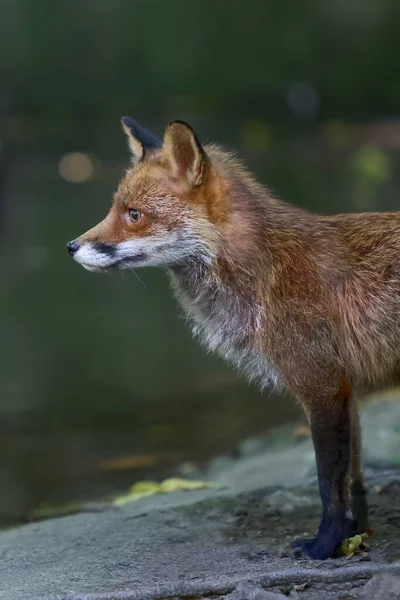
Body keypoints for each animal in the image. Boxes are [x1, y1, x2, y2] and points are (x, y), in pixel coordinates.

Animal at [67, 117, 398, 556]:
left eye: (134, 214)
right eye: (114, 209)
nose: (71, 246)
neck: (265, 271)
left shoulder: (321, 387)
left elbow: (330, 483)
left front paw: (325, 546)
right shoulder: (345, 389)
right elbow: (354, 481)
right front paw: (353, 537)